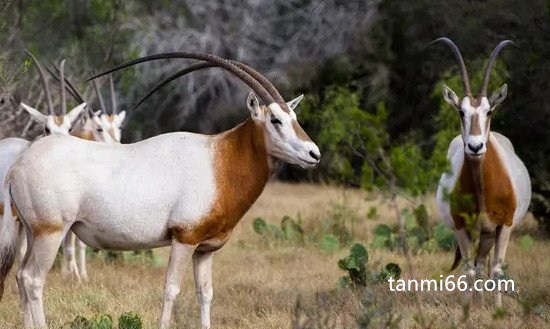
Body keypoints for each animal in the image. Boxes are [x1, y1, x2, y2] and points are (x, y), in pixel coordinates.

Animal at [0, 52, 320, 326]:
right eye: (275, 119)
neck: (220, 159)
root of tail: (18, 165)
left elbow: (205, 294)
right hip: (50, 232)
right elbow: (171, 290)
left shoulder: (205, 249)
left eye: (293, 118)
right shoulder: (183, 239)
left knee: (20, 276)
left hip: (32, 232)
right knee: (33, 279)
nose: (313, 153)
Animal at [436, 38, 536, 308]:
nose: (475, 146)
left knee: (486, 265)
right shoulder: (462, 227)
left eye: (489, 111)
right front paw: (467, 309)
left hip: (489, 234)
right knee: (478, 265)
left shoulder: (504, 226)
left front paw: (497, 310)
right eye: (461, 112)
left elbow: (497, 270)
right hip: (480, 233)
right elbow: (469, 269)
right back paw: (478, 303)